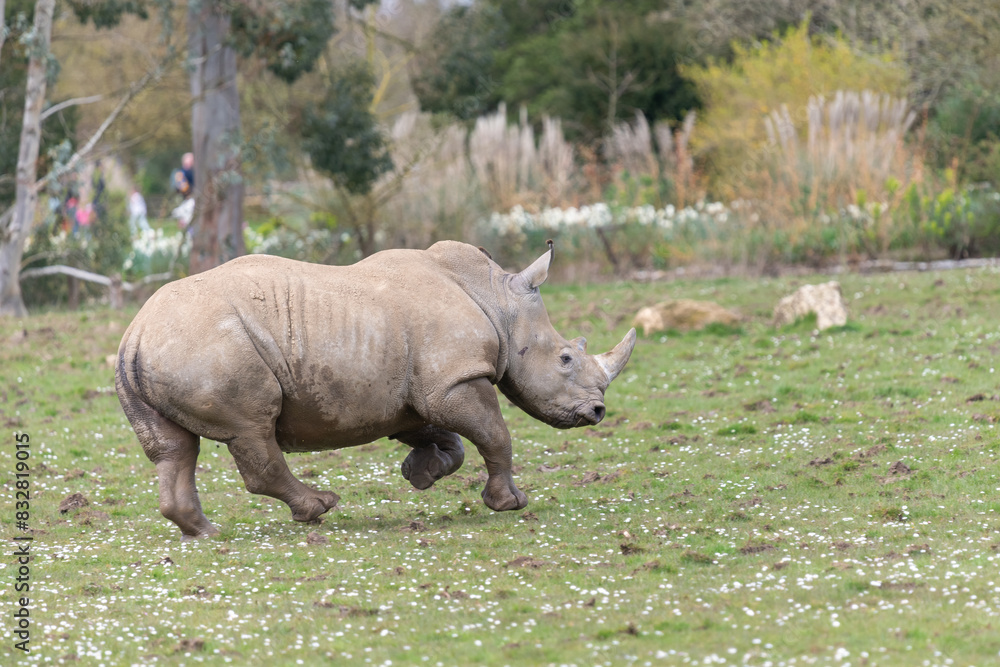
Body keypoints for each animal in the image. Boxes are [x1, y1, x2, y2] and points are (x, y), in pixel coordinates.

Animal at [115, 241, 636, 538]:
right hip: (210, 344)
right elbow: (495, 435)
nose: (597, 412)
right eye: (566, 359)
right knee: (252, 430)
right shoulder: (455, 377)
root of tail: (134, 334)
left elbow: (447, 438)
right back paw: (319, 508)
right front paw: (510, 503)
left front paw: (421, 474)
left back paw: (206, 532)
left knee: (175, 449)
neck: (497, 300)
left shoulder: (414, 391)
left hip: (157, 358)